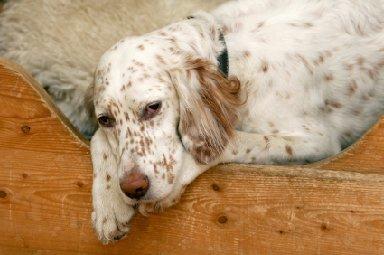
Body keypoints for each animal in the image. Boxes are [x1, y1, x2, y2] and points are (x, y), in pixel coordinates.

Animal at [89, 0, 384, 243]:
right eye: (105, 120)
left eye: (153, 107)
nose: (133, 188)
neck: (231, 58)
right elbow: (96, 140)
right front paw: (109, 203)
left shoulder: (318, 141)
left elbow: (232, 141)